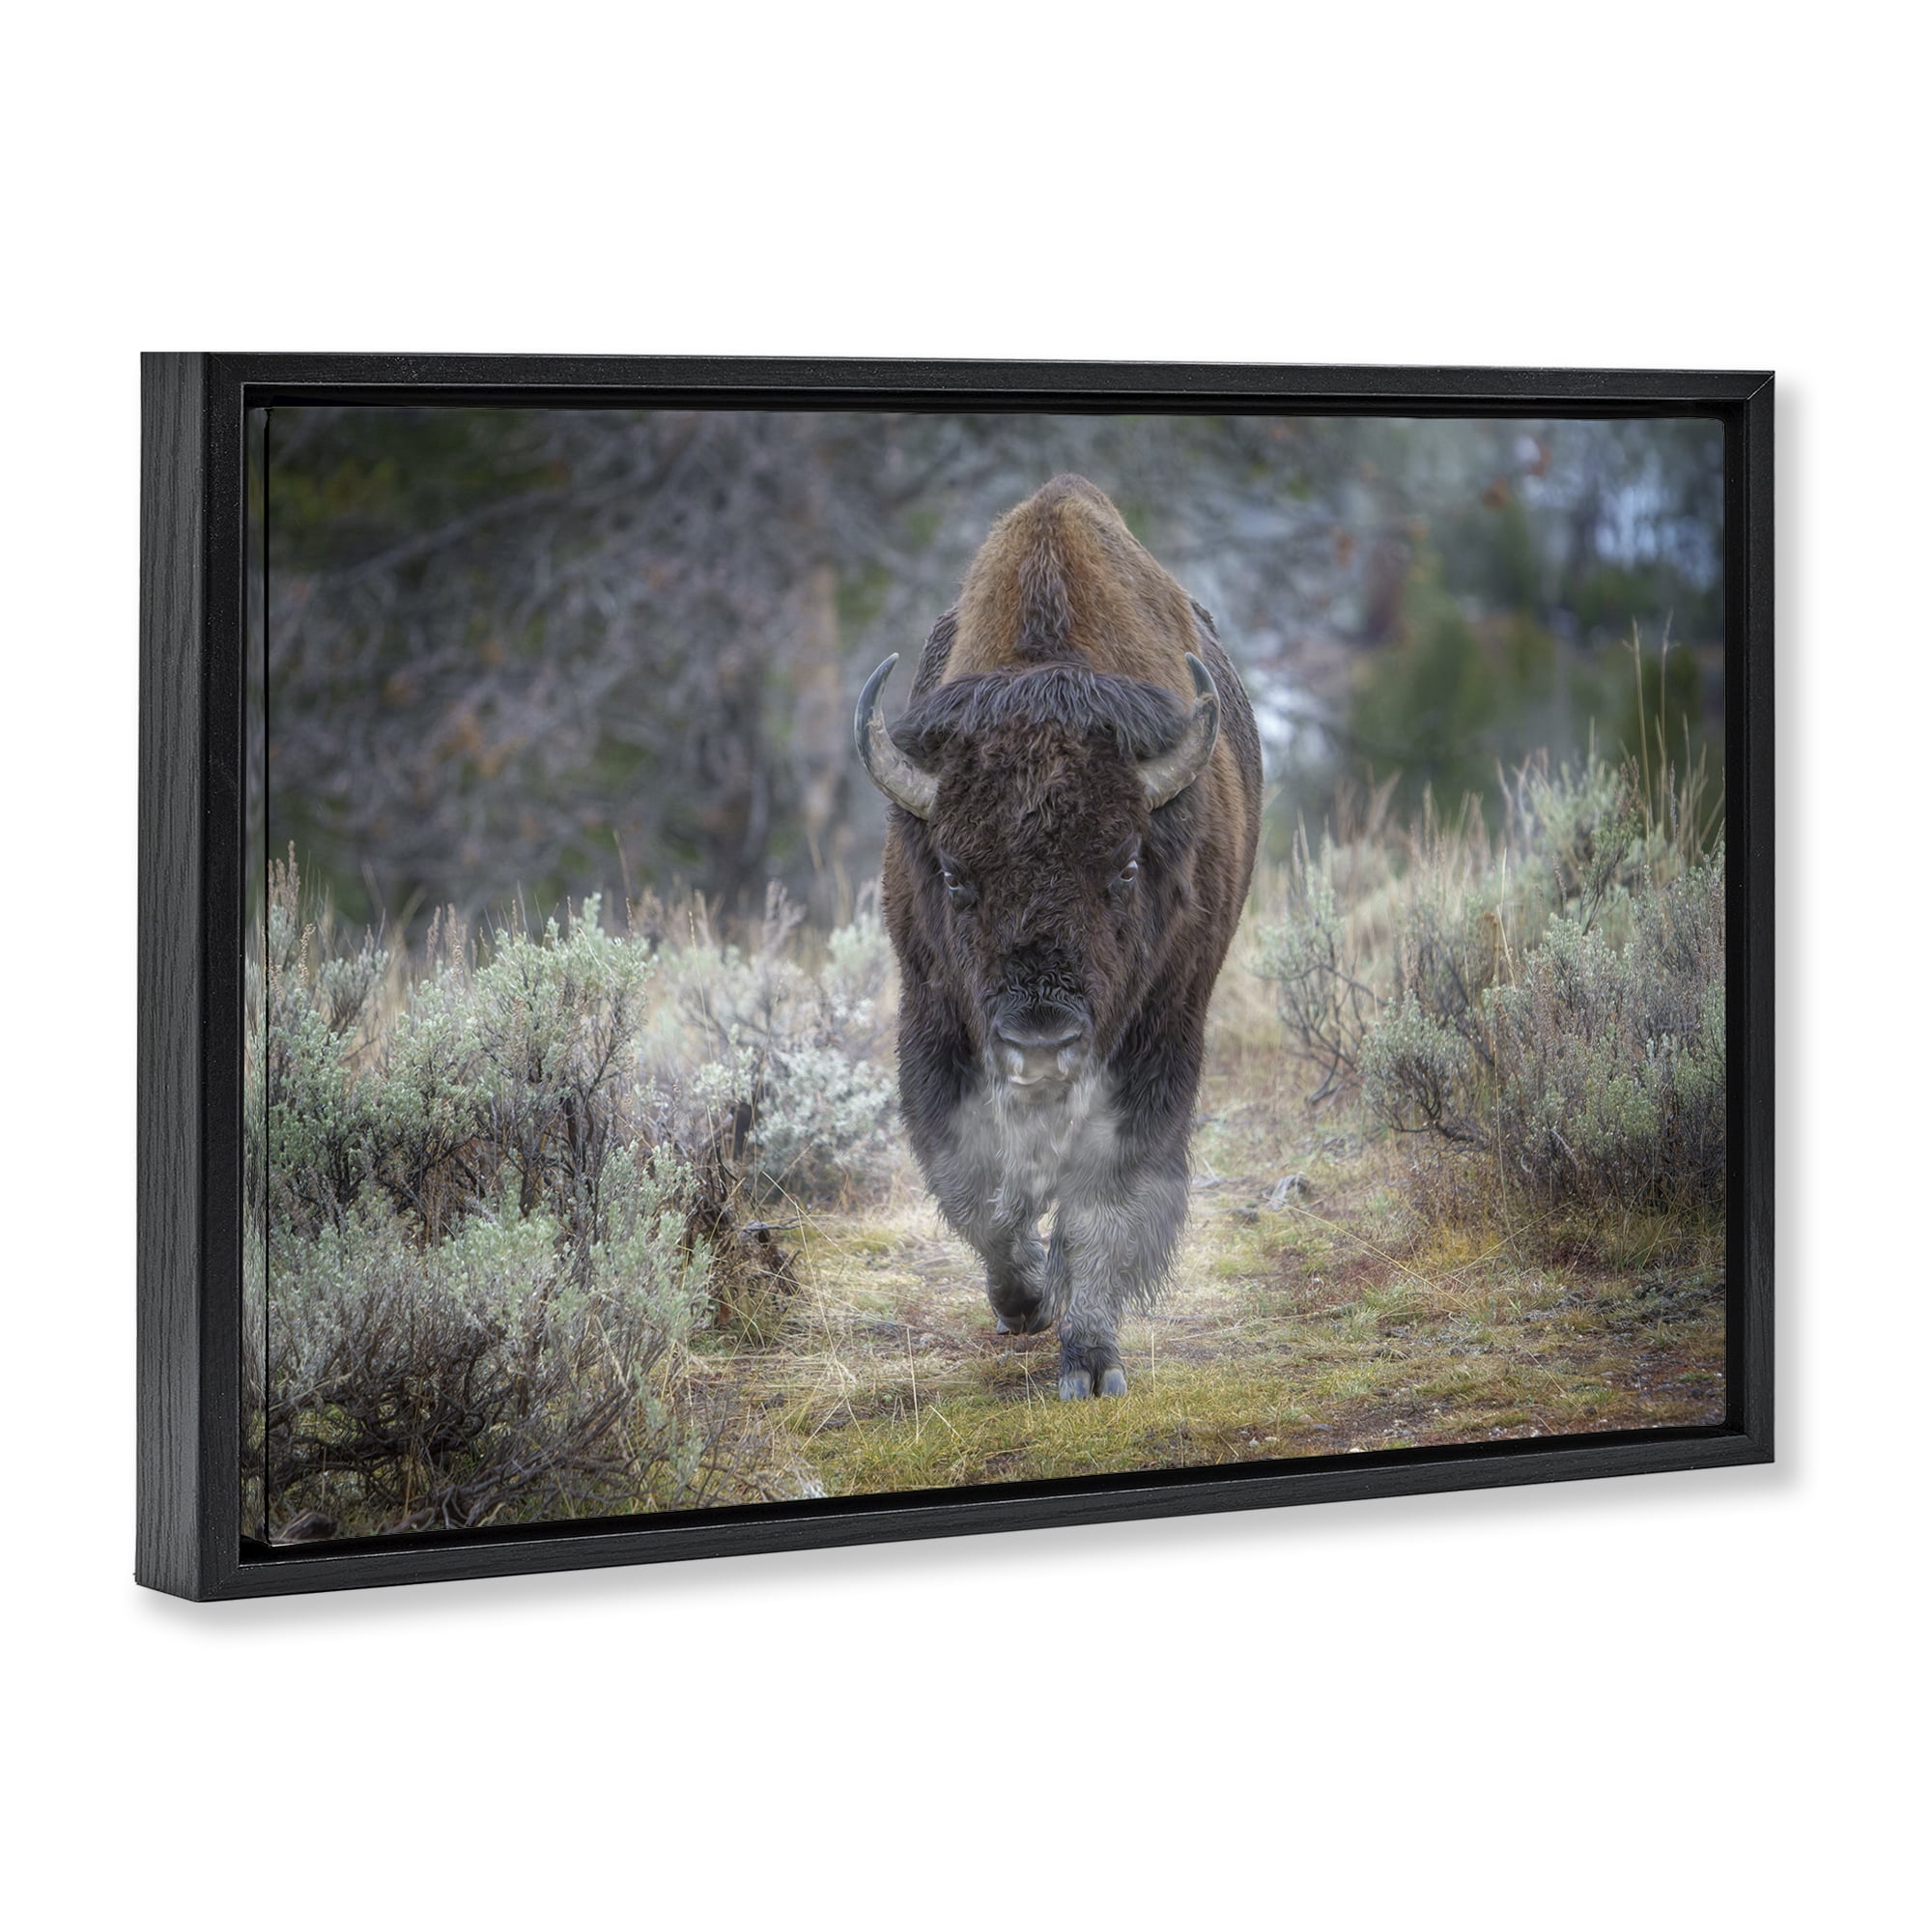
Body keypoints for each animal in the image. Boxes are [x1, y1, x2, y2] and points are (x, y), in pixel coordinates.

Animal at [855, 475, 1262, 1398]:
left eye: (1124, 865)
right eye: (955, 874)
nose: (1040, 1045)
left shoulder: (1159, 1037)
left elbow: (1107, 1200)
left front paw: (1090, 1360)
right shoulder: (933, 1020)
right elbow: (978, 1189)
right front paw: (1024, 1302)